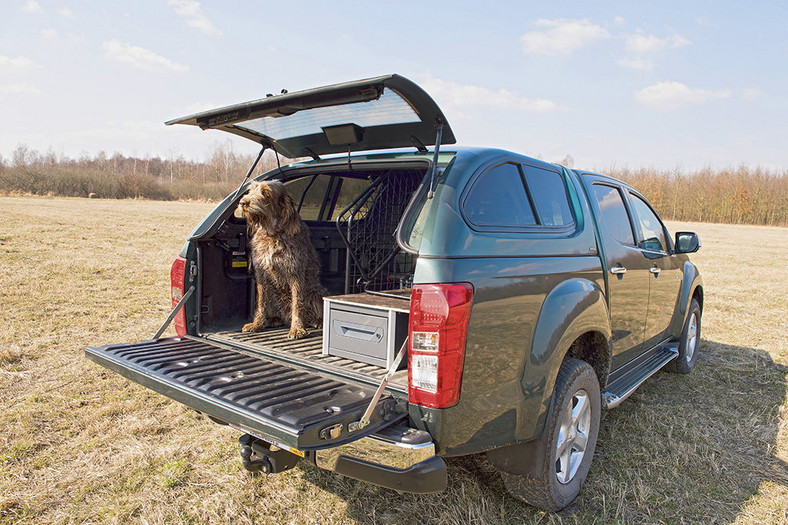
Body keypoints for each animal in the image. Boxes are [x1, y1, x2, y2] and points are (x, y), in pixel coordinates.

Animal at [240, 180, 326, 340]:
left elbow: (297, 304)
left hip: (317, 293)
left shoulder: (295, 272)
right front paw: (257, 324)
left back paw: (318, 321)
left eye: (266, 193)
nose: (243, 202)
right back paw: (274, 319)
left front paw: (297, 328)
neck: (272, 234)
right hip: (273, 293)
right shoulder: (261, 274)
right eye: (251, 190)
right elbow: (260, 302)